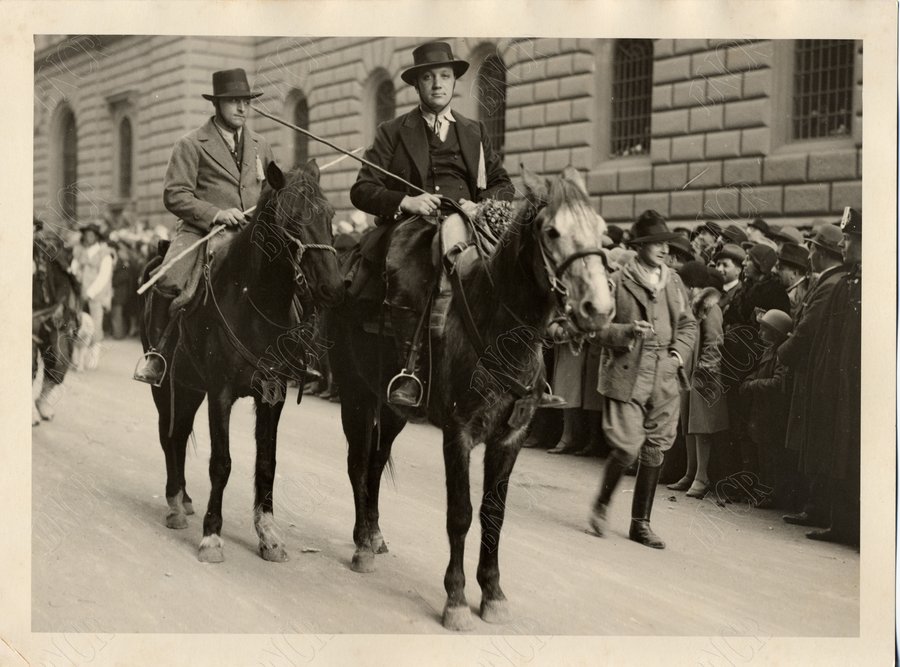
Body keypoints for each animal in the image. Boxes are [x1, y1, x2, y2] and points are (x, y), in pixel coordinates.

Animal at [138, 160, 344, 563]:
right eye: (292, 220)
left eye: (329, 214)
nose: (332, 287)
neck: (256, 304)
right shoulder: (221, 394)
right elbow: (222, 463)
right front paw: (212, 535)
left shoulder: (273, 395)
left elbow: (267, 464)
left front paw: (269, 535)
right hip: (167, 385)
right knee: (170, 435)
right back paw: (175, 502)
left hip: (190, 385)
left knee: (179, 434)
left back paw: (184, 499)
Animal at [329, 166, 615, 630]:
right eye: (552, 231)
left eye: (602, 232)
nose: (599, 309)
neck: (500, 327)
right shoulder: (458, 433)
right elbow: (460, 513)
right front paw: (457, 599)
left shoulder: (509, 439)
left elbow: (493, 514)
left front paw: (493, 592)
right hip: (355, 392)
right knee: (357, 463)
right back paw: (361, 546)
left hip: (394, 409)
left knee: (374, 462)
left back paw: (373, 534)